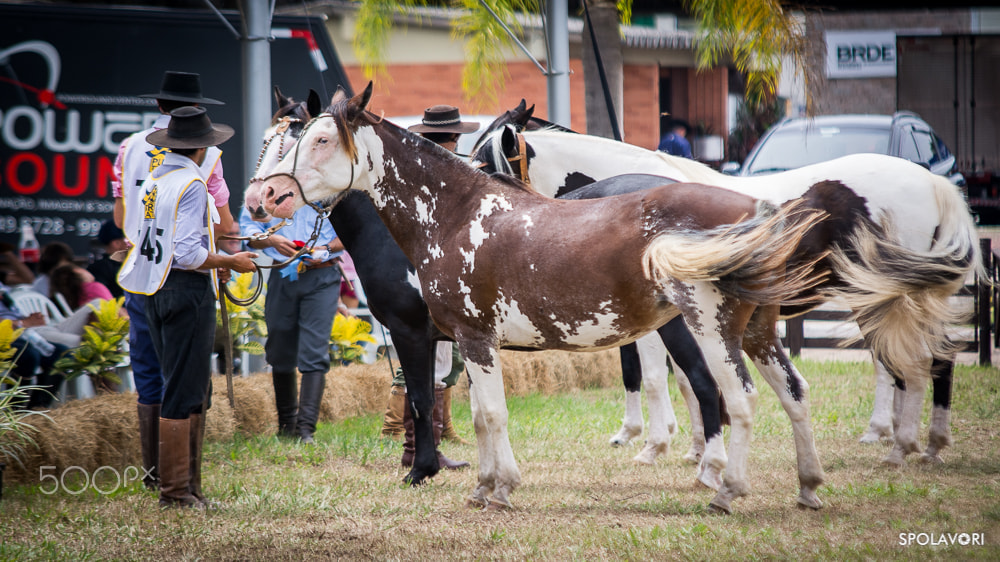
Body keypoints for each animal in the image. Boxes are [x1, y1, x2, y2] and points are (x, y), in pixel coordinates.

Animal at [250, 84, 828, 512]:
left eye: (320, 139)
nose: (267, 196)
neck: (455, 214)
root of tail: (755, 209)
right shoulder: (464, 342)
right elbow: (475, 414)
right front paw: (481, 487)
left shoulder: (462, 337)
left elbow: (482, 412)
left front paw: (495, 488)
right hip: (756, 331)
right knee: (794, 392)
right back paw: (808, 488)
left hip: (710, 329)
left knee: (738, 399)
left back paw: (726, 490)